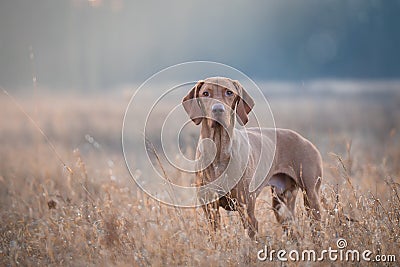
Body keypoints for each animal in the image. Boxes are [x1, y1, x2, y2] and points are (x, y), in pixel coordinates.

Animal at [181, 77, 322, 239]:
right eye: (205, 93)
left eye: (229, 92)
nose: (218, 109)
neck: (219, 151)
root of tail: (305, 140)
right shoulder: (211, 210)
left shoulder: (247, 213)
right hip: (281, 205)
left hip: (311, 198)